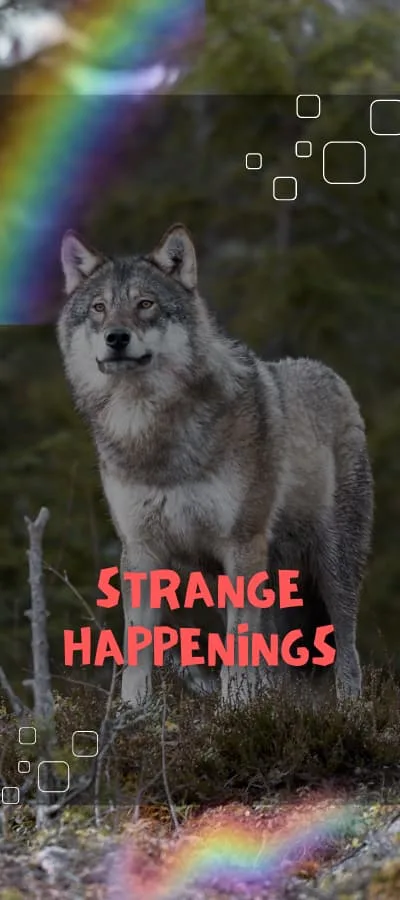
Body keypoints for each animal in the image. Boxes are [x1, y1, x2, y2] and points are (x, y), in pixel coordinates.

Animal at [57, 223, 373, 708]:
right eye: (99, 308)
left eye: (145, 304)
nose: (116, 337)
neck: (152, 435)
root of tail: (330, 373)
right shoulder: (141, 549)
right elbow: (137, 650)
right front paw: (132, 713)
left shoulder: (241, 542)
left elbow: (238, 649)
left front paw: (236, 711)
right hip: (231, 575)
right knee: (275, 652)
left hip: (332, 564)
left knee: (347, 649)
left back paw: (349, 711)